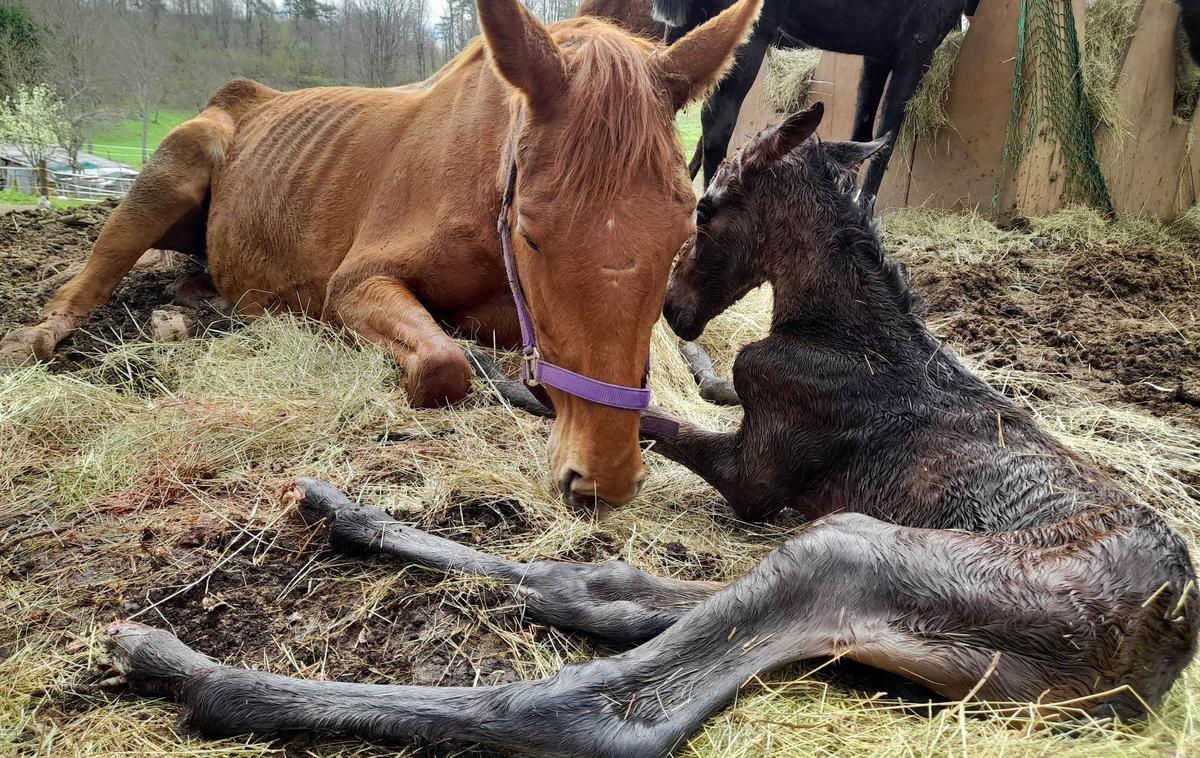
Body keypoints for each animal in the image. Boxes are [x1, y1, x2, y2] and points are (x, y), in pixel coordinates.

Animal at [0, 0, 763, 513]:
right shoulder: (355, 284)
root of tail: (241, 98)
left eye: (680, 236)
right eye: (532, 234)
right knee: (94, 272)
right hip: (172, 171)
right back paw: (46, 335)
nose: (603, 477)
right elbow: (444, 363)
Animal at [100, 106, 1190, 758]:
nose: (673, 304)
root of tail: (1159, 643)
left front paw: (519, 380)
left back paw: (190, 668)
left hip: (852, 549)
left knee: (603, 704)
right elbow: (690, 390)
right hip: (889, 610)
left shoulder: (758, 476)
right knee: (602, 585)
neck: (846, 329)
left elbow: (647, 416)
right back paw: (343, 515)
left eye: (707, 204)